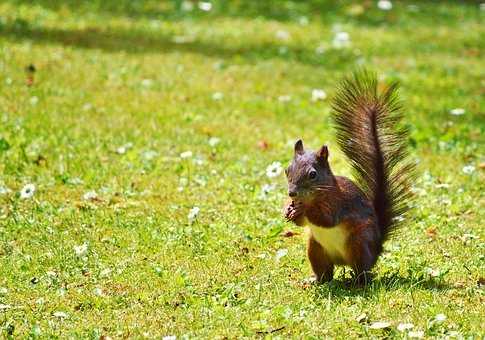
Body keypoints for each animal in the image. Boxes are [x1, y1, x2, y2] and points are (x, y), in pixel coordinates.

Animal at [286, 69, 414, 284]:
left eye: (313, 174)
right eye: (287, 170)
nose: (292, 194)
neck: (317, 194)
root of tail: (377, 248)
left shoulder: (337, 203)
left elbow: (326, 219)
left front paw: (304, 209)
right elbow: (301, 223)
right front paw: (288, 210)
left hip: (359, 243)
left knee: (363, 271)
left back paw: (356, 283)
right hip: (315, 248)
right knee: (326, 273)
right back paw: (315, 281)